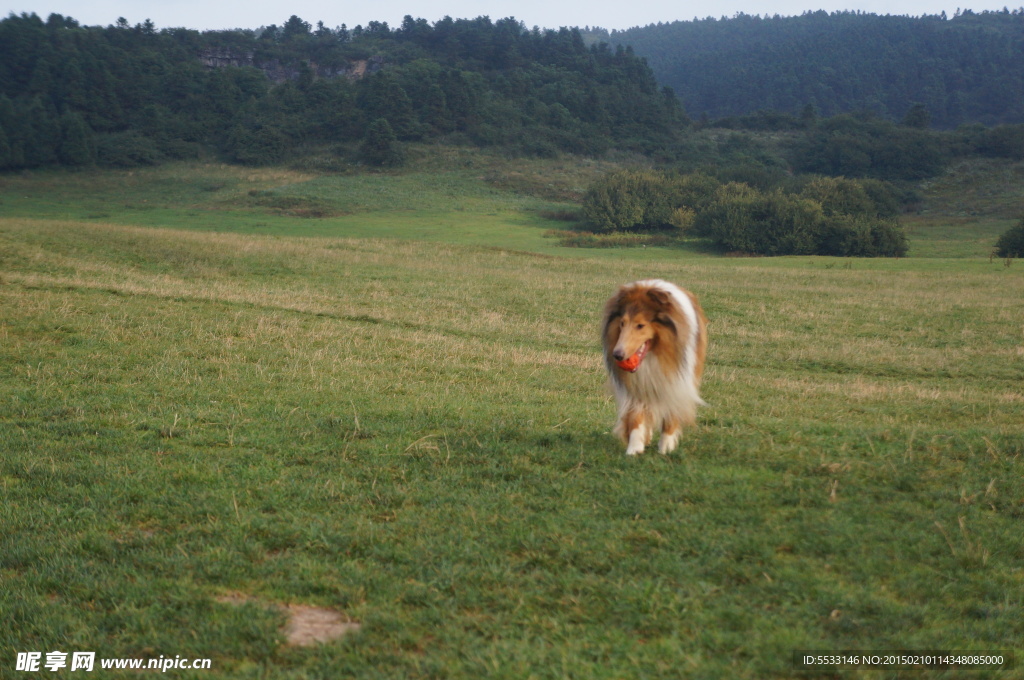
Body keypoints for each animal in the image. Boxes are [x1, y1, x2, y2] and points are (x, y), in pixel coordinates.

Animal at [602, 276, 708, 456]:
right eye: (622, 323)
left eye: (640, 325)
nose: (617, 355)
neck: (654, 354)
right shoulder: (636, 385)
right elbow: (636, 416)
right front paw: (634, 448)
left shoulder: (677, 382)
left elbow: (670, 414)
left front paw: (666, 447)